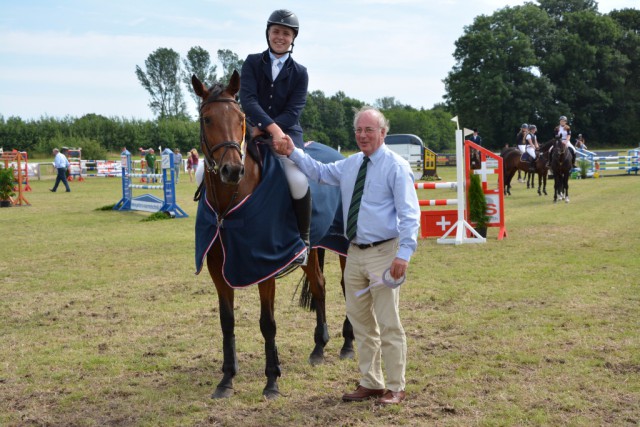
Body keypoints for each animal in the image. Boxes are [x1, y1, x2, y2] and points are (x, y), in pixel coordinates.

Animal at [192, 71, 356, 402]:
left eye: (241, 118)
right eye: (207, 119)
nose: (232, 170)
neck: (227, 206)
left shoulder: (265, 264)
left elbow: (267, 323)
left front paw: (271, 382)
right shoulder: (217, 267)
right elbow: (226, 321)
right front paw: (226, 380)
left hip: (343, 245)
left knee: (348, 287)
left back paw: (347, 344)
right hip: (310, 249)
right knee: (319, 285)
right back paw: (318, 348)